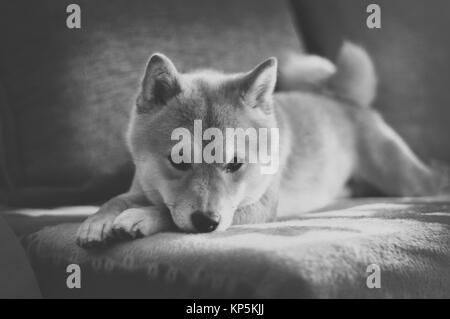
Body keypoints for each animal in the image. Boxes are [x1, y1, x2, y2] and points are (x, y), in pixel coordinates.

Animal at [76, 42, 442, 248]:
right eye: (178, 161)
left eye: (235, 164)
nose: (207, 223)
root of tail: (344, 99)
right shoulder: (142, 186)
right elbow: (117, 199)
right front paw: (98, 221)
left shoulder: (258, 208)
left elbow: (165, 211)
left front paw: (141, 217)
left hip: (404, 178)